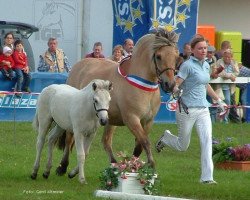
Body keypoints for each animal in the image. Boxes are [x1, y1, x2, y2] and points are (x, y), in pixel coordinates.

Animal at [55, 28, 179, 175]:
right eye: (159, 56)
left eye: (176, 56)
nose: (170, 85)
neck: (142, 86)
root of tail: (79, 65)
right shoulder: (132, 119)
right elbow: (145, 142)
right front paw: (151, 166)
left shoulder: (148, 121)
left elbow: (139, 146)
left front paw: (133, 167)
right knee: (69, 139)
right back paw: (62, 167)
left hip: (109, 121)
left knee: (105, 142)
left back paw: (112, 166)